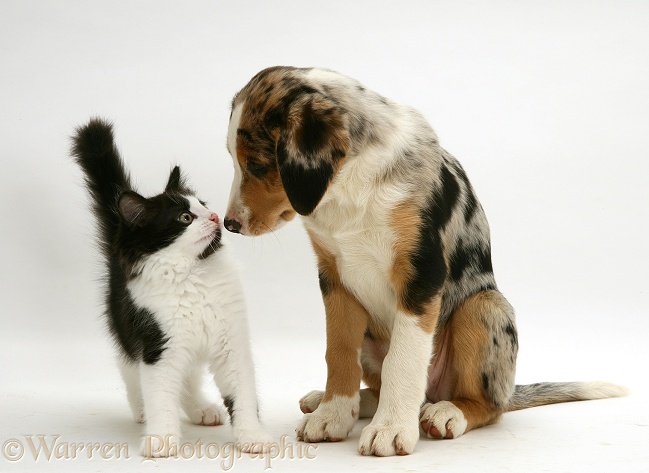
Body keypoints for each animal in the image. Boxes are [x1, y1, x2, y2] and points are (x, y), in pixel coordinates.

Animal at [69, 119, 272, 458]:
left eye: (204, 205)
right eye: (185, 217)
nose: (215, 216)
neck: (192, 275)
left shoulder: (230, 342)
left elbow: (242, 391)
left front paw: (252, 435)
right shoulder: (158, 343)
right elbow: (161, 394)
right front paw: (162, 438)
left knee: (187, 378)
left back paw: (201, 409)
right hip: (127, 330)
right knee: (131, 370)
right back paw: (142, 411)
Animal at [221, 66, 624, 454]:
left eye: (258, 165)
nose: (229, 224)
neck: (348, 191)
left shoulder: (421, 273)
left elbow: (403, 359)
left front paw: (389, 430)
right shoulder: (334, 278)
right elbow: (338, 352)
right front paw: (332, 415)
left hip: (483, 308)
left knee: (486, 406)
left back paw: (446, 413)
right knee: (378, 385)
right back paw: (336, 402)